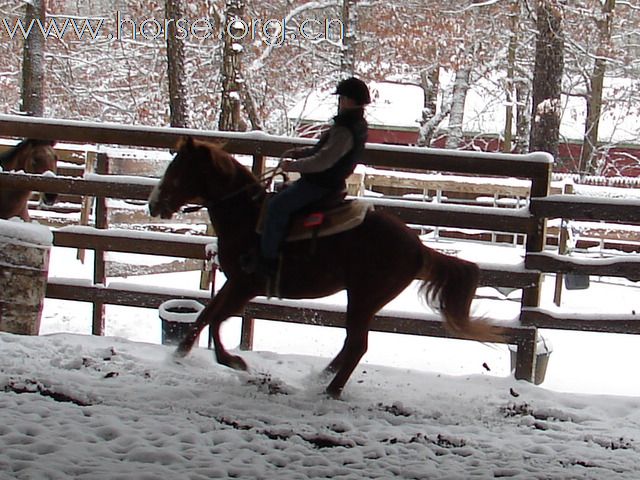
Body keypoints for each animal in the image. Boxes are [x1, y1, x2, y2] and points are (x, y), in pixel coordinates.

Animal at [150, 138, 504, 398]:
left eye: (178, 172)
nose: (154, 205)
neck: (247, 217)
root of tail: (418, 248)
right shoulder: (234, 282)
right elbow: (207, 314)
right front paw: (179, 354)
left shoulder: (246, 285)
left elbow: (216, 320)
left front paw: (235, 362)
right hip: (366, 301)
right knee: (351, 344)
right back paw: (322, 378)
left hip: (362, 298)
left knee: (357, 345)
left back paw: (329, 390)